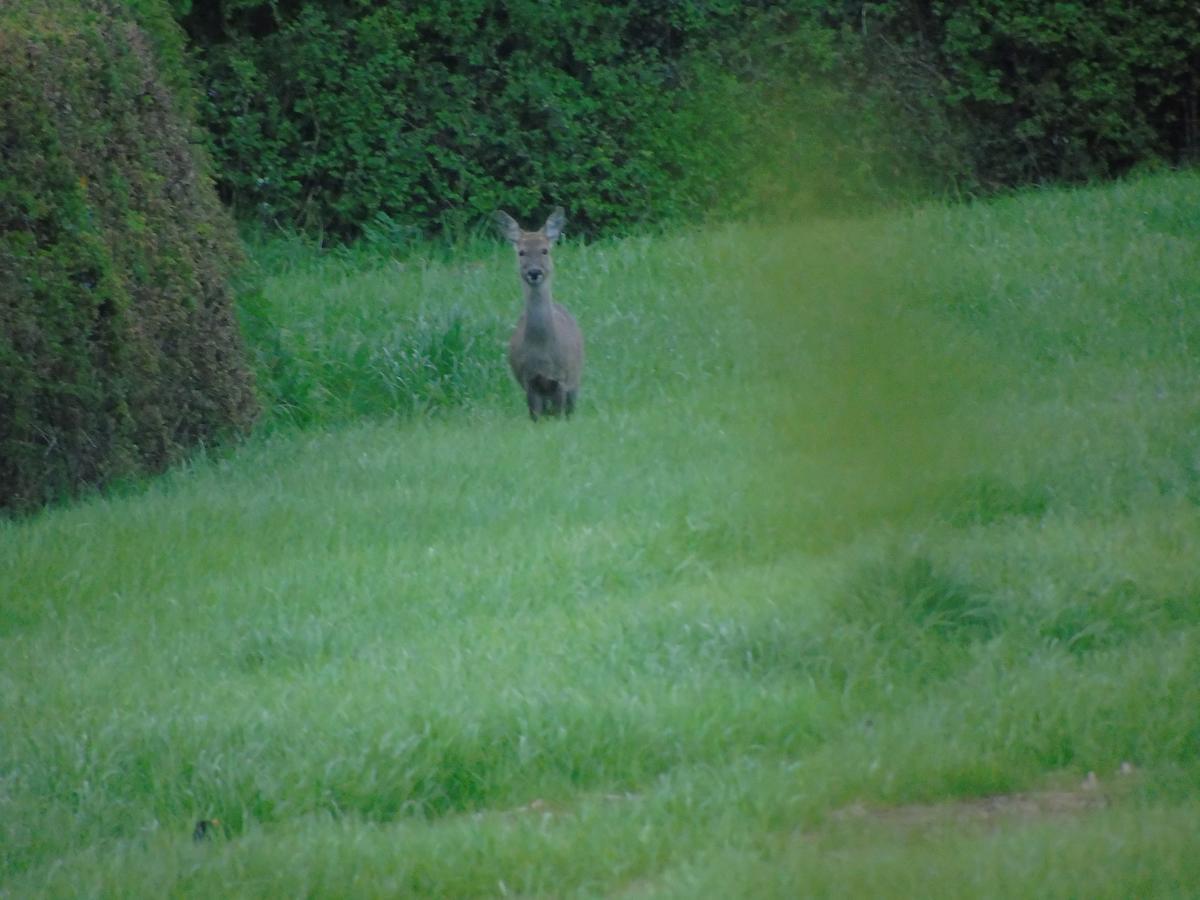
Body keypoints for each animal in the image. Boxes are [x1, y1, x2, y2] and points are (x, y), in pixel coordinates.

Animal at [494, 207, 583, 422]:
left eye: (544, 250)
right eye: (521, 252)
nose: (534, 272)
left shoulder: (562, 378)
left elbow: (560, 415)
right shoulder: (529, 381)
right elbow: (535, 417)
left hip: (576, 378)